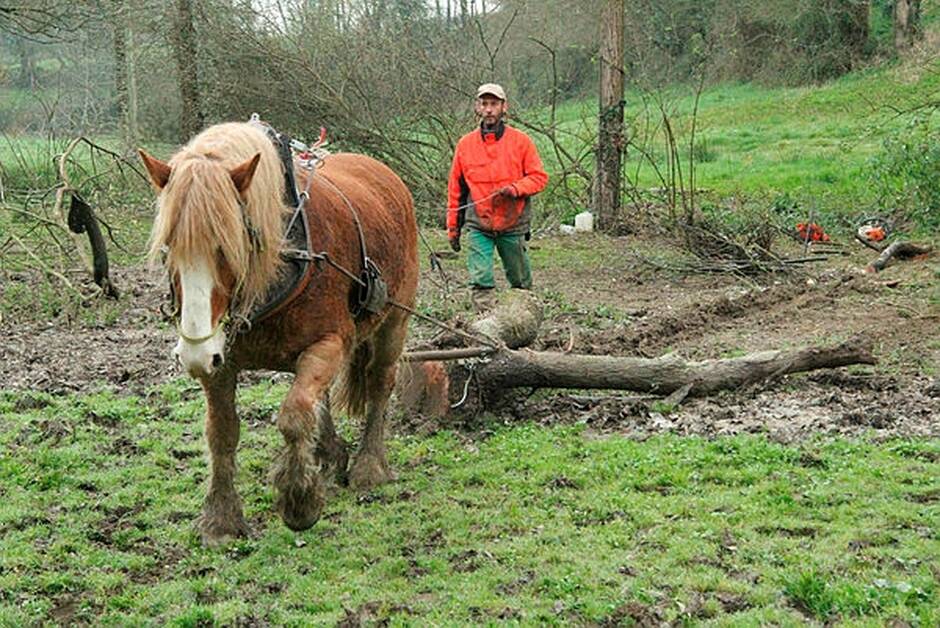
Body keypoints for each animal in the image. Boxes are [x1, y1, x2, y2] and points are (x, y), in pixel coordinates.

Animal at [140, 122, 418, 544]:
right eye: (169, 248)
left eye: (227, 247)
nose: (194, 353)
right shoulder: (221, 362)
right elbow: (222, 432)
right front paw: (221, 518)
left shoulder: (329, 342)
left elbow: (294, 414)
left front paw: (299, 500)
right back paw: (328, 454)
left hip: (393, 321)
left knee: (379, 383)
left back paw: (369, 466)